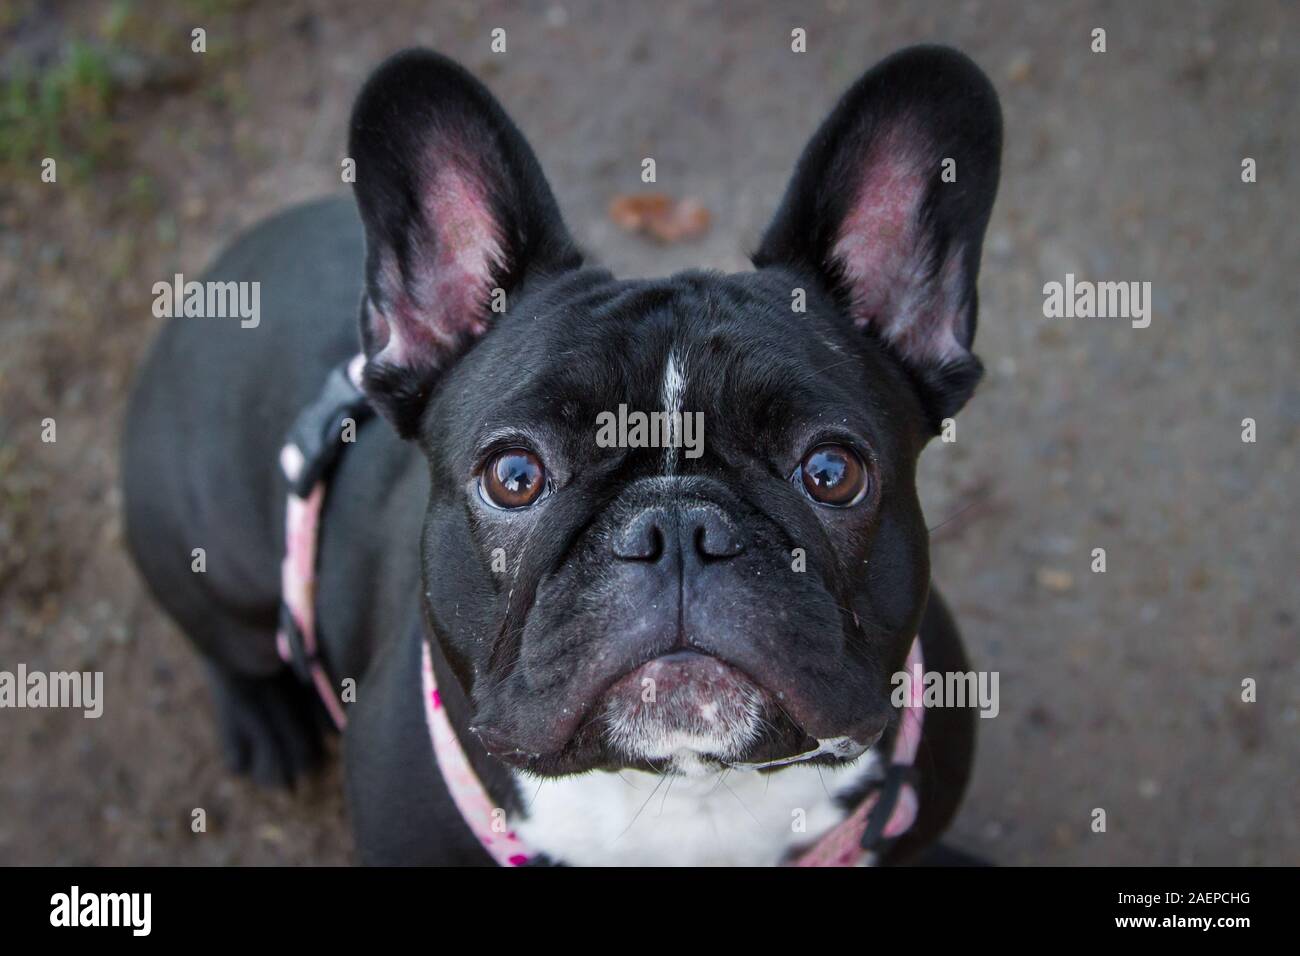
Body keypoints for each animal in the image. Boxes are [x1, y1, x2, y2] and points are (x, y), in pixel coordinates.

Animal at [122, 44, 998, 868]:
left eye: (832, 473)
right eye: (514, 478)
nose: (678, 530)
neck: (688, 791)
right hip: (206, 555)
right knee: (224, 639)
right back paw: (265, 724)